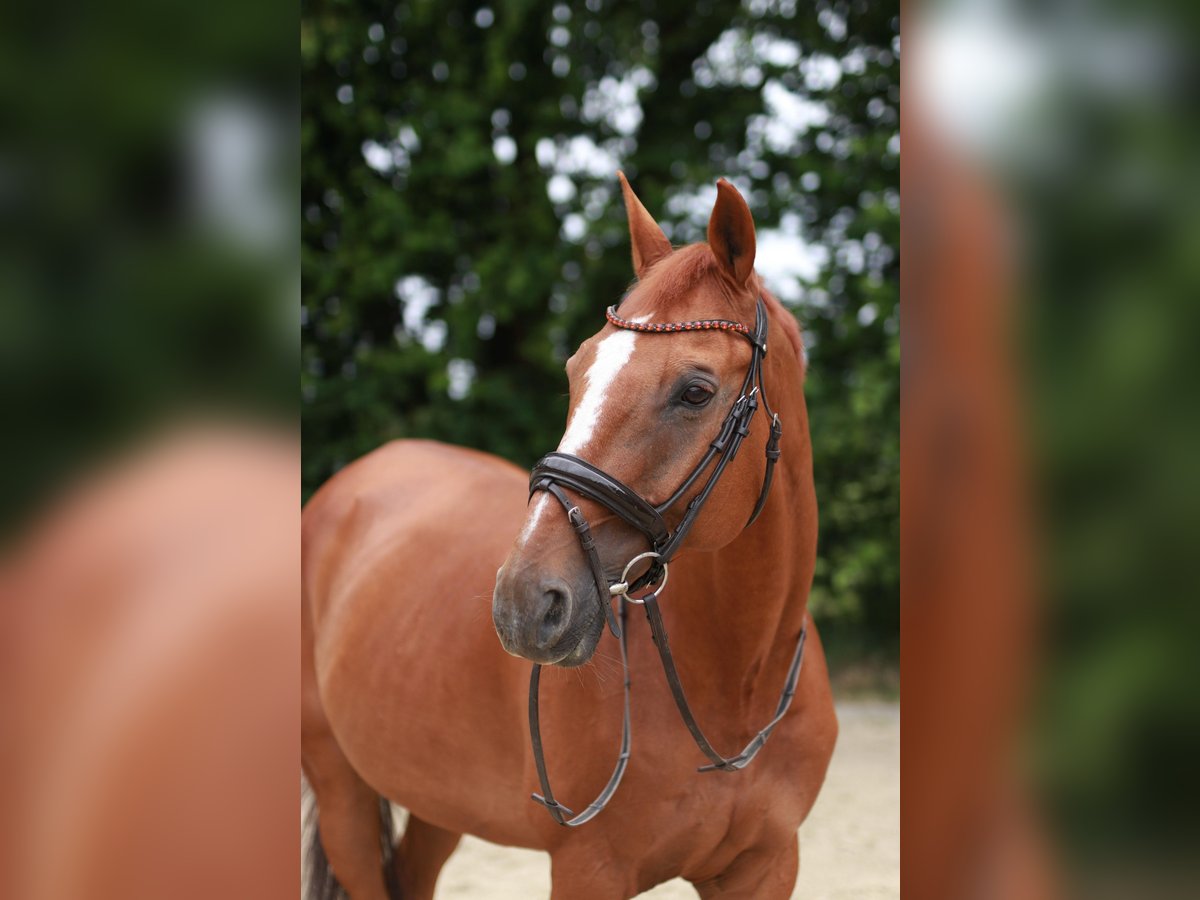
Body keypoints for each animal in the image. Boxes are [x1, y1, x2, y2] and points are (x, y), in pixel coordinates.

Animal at [301, 175, 837, 899]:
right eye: (575, 370)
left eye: (695, 392)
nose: (523, 605)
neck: (736, 689)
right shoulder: (589, 868)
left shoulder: (768, 866)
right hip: (342, 791)